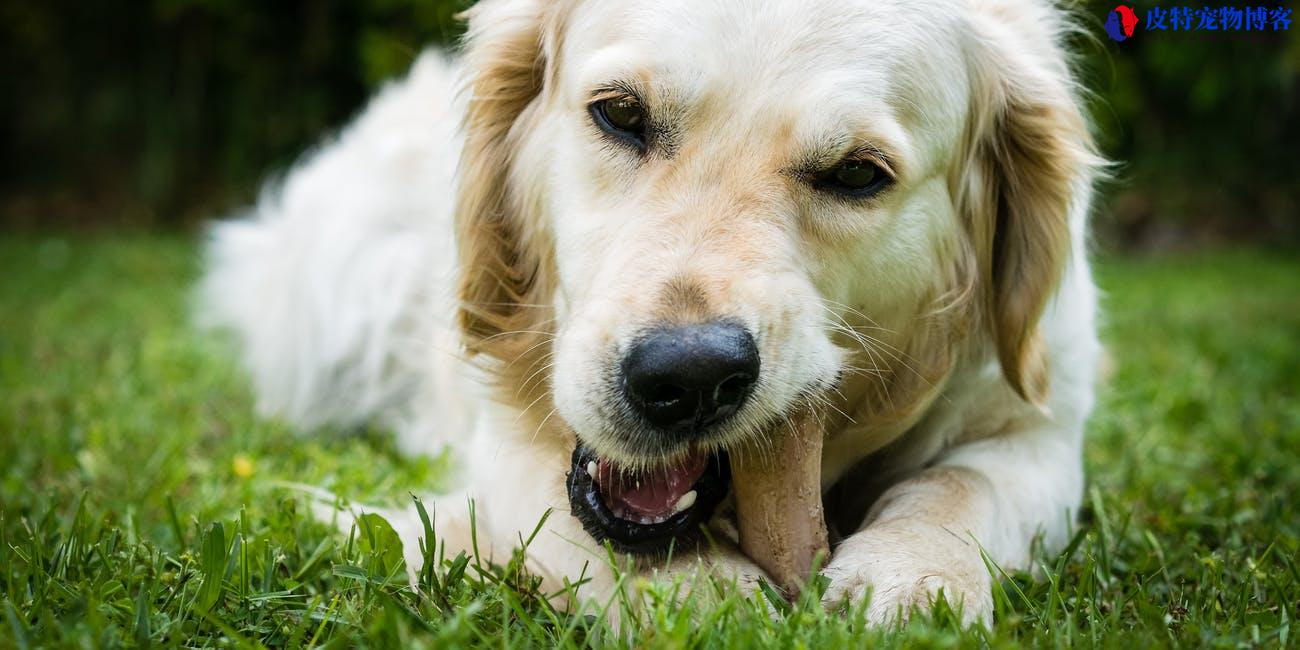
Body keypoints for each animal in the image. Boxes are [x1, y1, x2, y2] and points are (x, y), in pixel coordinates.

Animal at [197, 0, 1102, 624]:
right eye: (621, 114)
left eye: (855, 173)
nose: (689, 378)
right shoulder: (510, 443)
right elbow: (562, 524)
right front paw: (705, 595)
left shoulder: (1040, 434)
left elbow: (960, 484)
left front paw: (916, 575)